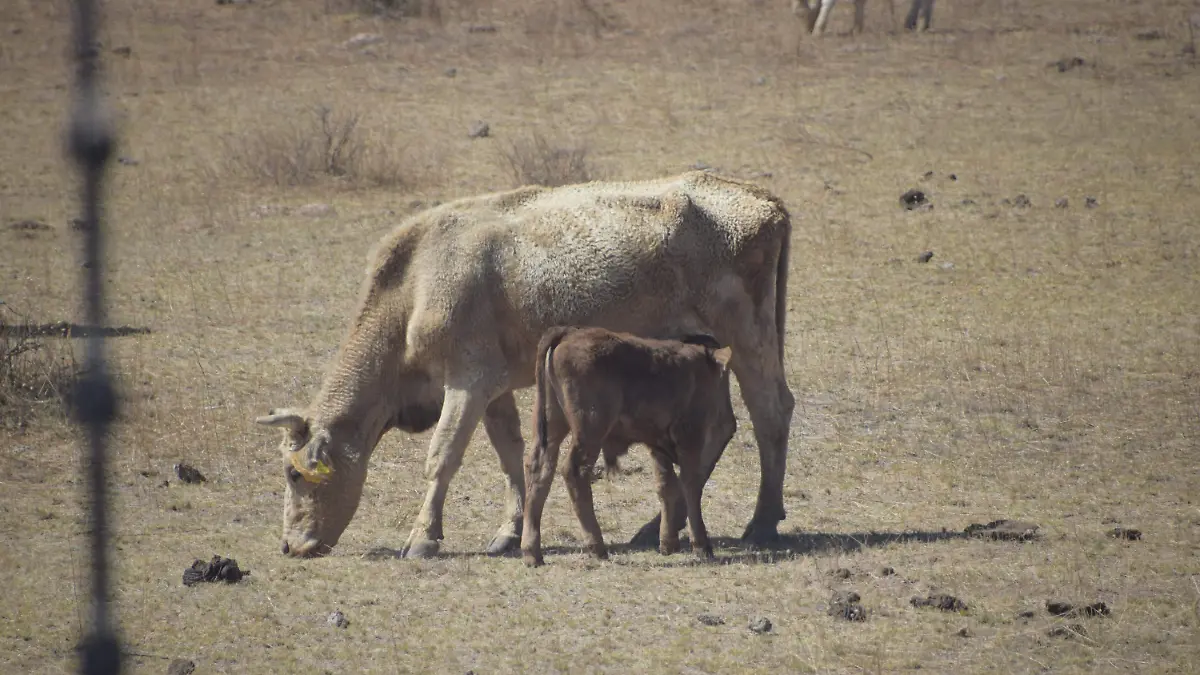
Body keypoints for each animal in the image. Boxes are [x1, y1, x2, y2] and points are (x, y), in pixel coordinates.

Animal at [520, 324, 734, 564]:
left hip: (552, 425)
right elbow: (690, 486)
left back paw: (532, 553)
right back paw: (597, 547)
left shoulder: (658, 443)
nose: (730, 423)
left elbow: (667, 486)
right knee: (575, 471)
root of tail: (568, 333)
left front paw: (668, 544)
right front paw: (702, 546)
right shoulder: (690, 438)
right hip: (590, 430)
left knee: (539, 469)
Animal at [796, 0, 936, 35]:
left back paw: (920, 25)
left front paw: (818, 30)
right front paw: (857, 28)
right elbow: (859, 3)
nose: (806, 31)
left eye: (800, 14)